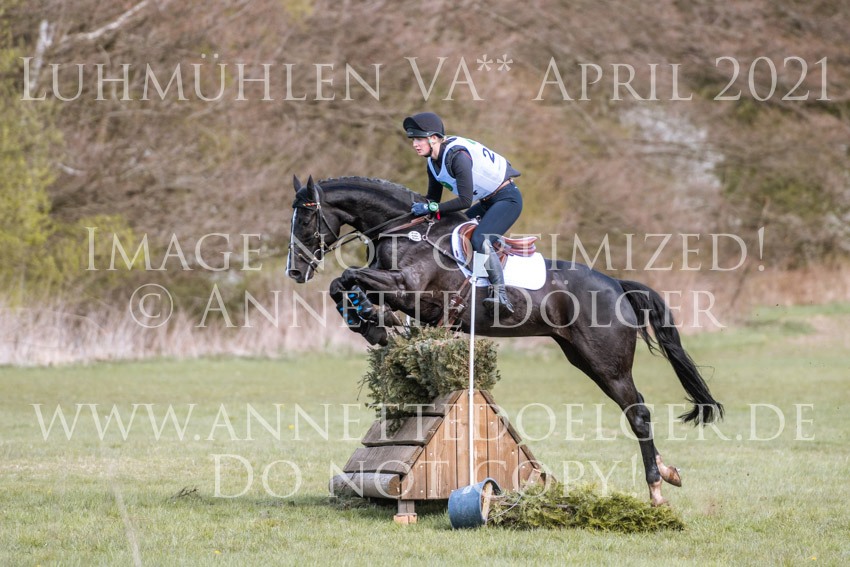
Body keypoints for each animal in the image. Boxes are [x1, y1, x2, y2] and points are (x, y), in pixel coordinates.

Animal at [286, 175, 723, 506]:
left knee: (639, 413)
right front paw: (371, 323)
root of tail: (616, 284)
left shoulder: (410, 290)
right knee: (635, 408)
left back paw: (656, 490)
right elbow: (343, 286)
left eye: (305, 221)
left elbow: (348, 277)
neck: (405, 231)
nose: (295, 271)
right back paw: (667, 472)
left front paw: (375, 323)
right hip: (582, 358)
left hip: (607, 363)